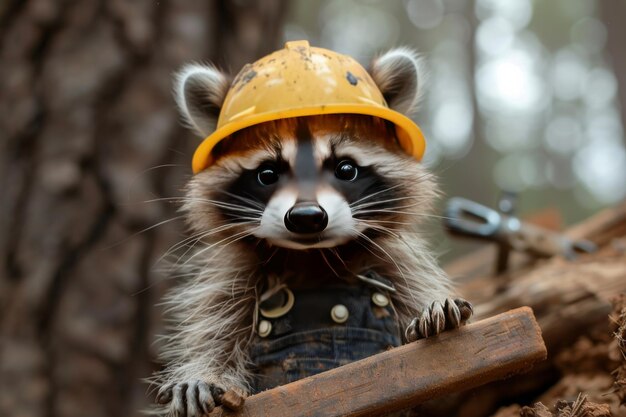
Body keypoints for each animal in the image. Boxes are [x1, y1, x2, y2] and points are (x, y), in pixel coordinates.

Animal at [151, 44, 470, 414]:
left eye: (346, 169)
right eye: (267, 174)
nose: (306, 216)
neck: (315, 258)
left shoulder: (397, 269)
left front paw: (433, 310)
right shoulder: (232, 283)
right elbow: (215, 329)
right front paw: (204, 372)